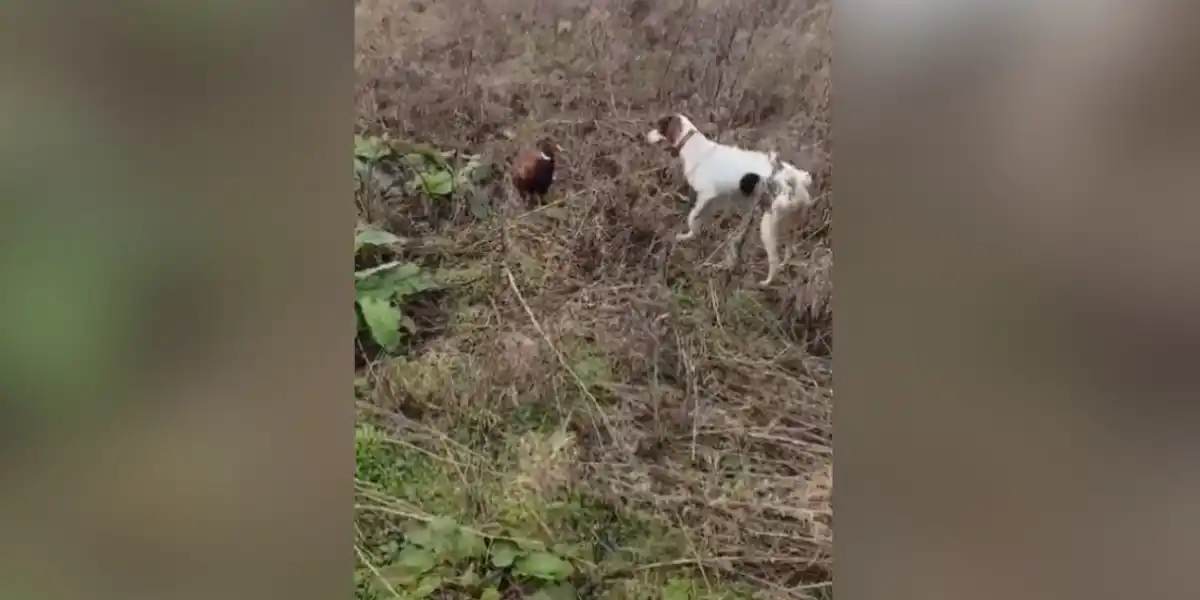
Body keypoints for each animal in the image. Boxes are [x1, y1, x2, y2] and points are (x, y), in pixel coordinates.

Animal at [648, 112, 816, 285]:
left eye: (658, 126)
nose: (646, 135)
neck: (693, 145)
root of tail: (797, 179)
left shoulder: (705, 195)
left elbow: (691, 217)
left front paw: (686, 235)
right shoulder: (713, 201)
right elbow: (698, 221)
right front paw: (692, 235)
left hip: (768, 226)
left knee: (774, 261)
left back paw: (766, 282)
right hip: (789, 224)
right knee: (789, 250)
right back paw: (784, 264)